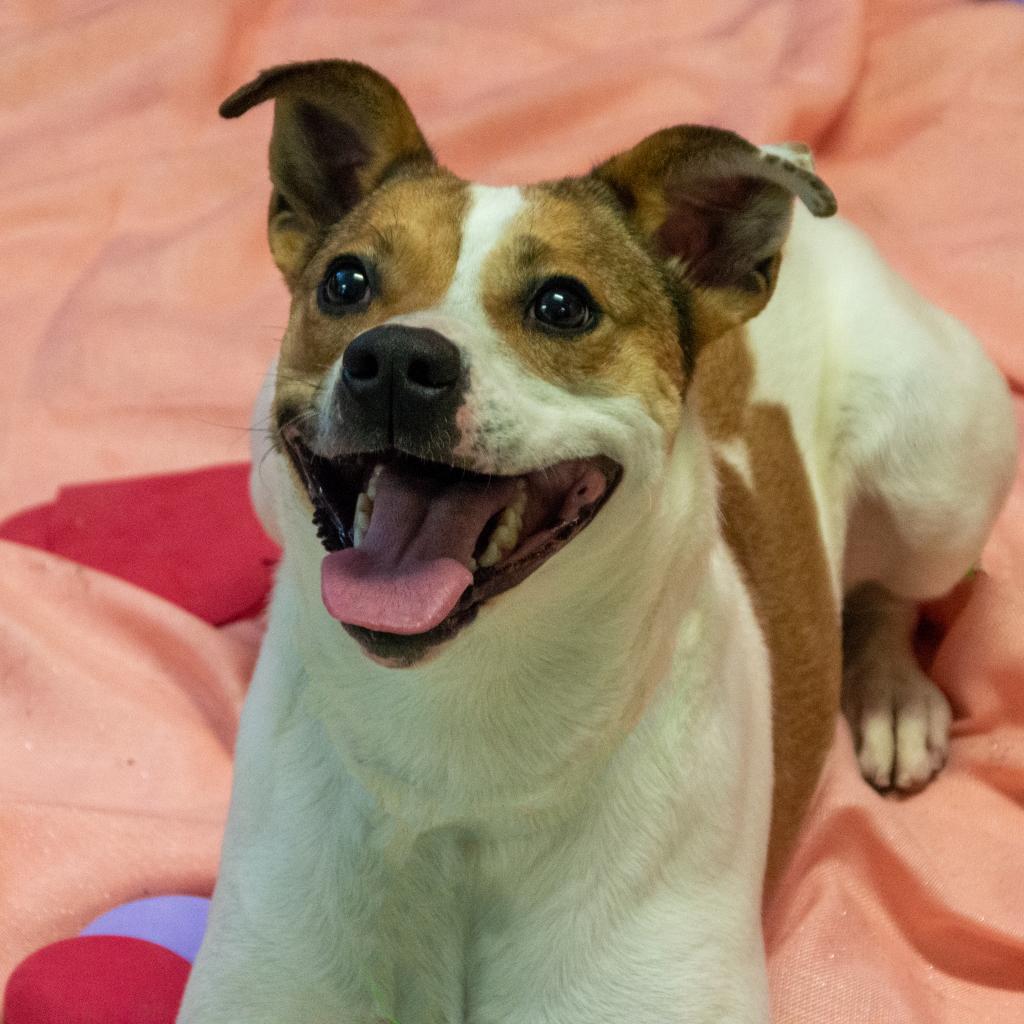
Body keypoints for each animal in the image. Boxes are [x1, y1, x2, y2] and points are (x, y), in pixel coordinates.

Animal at [176, 59, 1015, 1019]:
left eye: (562, 304)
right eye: (344, 284)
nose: (392, 360)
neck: (458, 731)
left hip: (932, 472)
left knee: (897, 591)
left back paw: (894, 696)